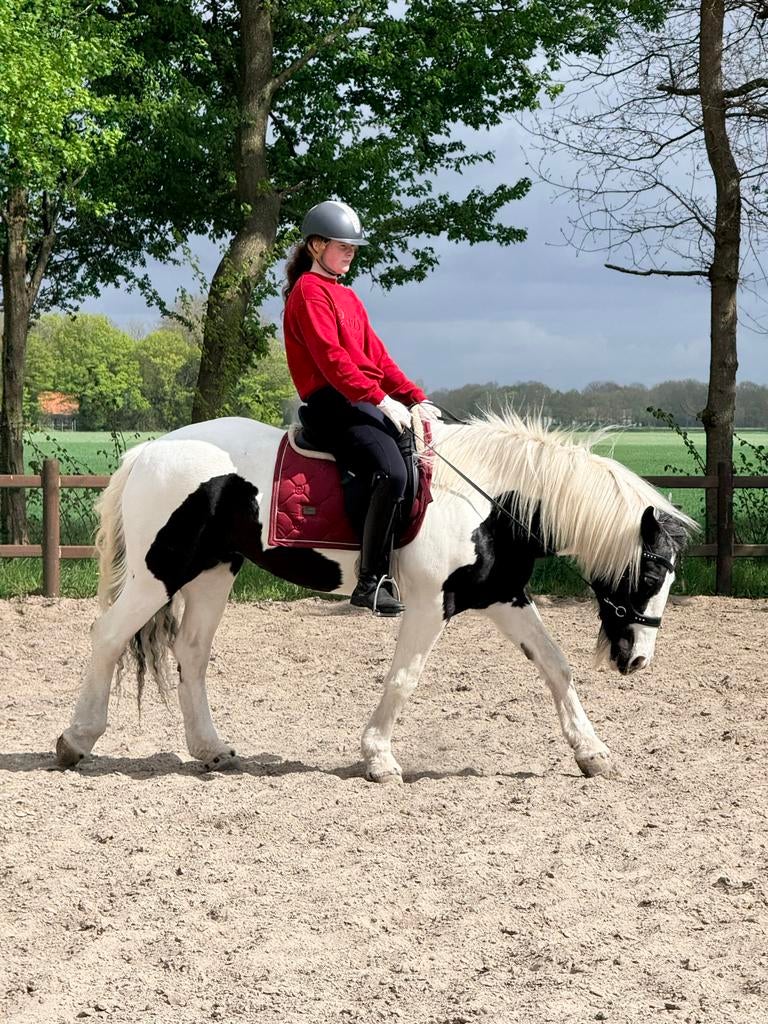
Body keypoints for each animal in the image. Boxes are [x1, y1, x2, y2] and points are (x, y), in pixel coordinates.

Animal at [55, 411, 695, 782]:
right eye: (651, 572)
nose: (638, 660)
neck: (490, 500)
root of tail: (148, 451)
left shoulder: (504, 597)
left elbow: (555, 666)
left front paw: (593, 754)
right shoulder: (430, 605)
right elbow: (404, 677)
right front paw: (379, 758)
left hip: (214, 571)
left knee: (191, 652)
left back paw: (211, 749)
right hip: (158, 574)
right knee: (108, 636)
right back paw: (75, 740)